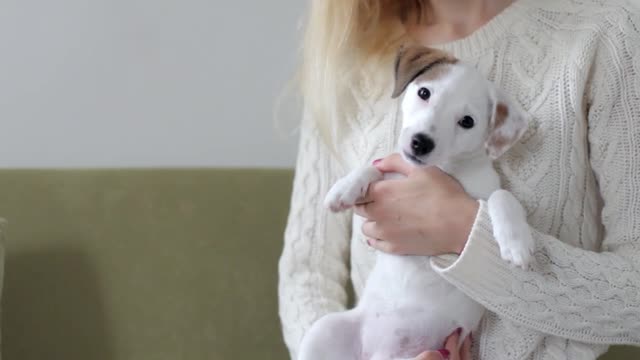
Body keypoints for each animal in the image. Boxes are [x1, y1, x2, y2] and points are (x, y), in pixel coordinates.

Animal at [298, 45, 536, 360]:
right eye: (425, 92)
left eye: (467, 122)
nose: (420, 143)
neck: (444, 168)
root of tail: (375, 355)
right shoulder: (395, 172)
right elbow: (374, 167)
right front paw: (344, 188)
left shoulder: (487, 190)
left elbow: (502, 196)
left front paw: (516, 242)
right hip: (322, 332)